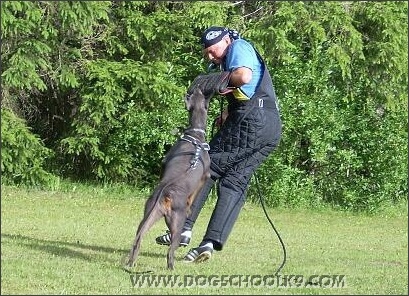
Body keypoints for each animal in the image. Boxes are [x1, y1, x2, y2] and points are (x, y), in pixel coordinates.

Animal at [124, 86, 210, 270]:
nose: (198, 87)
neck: (195, 135)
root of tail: (165, 194)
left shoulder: (164, 163)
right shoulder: (205, 176)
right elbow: (195, 195)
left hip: (149, 213)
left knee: (138, 239)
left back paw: (130, 263)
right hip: (177, 222)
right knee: (171, 250)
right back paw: (172, 268)